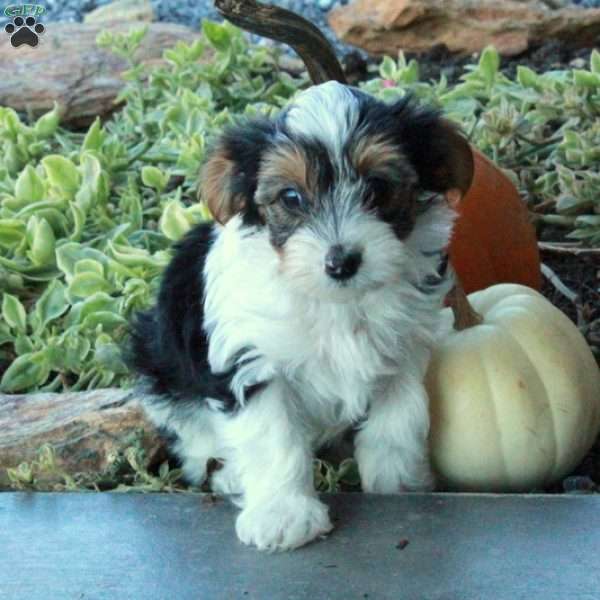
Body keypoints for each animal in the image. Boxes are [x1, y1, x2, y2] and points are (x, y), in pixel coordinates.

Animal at [130, 82, 474, 552]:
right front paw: (282, 513)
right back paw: (229, 473)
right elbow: (271, 436)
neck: (334, 301)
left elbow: (400, 416)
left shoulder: (405, 346)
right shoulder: (250, 359)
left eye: (378, 187)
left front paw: (398, 483)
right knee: (191, 432)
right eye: (291, 198)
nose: (341, 261)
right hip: (159, 359)